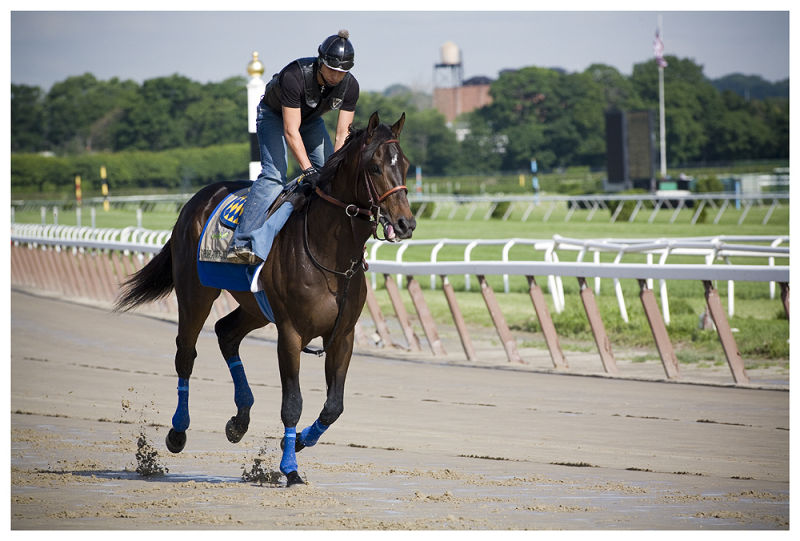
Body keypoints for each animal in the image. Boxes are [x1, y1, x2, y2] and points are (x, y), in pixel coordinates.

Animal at [115, 110, 416, 486]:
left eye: (406, 164)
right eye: (375, 167)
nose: (405, 223)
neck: (329, 252)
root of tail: (197, 199)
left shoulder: (342, 335)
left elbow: (334, 406)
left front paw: (299, 441)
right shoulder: (290, 332)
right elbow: (293, 403)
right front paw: (290, 469)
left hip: (254, 307)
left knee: (226, 333)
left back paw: (239, 420)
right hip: (195, 293)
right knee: (186, 353)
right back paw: (178, 432)